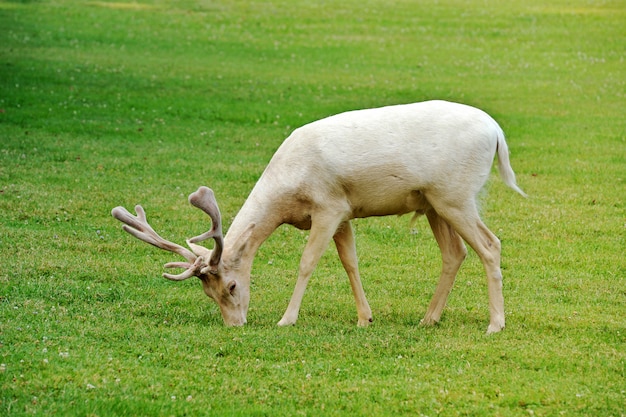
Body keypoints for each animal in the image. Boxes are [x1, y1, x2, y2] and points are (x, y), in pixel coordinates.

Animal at [111, 99, 520, 334]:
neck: (288, 192)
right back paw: (428, 319)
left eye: (231, 286)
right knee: (455, 253)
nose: (235, 324)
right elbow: (350, 261)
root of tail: (498, 132)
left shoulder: (329, 206)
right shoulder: (344, 214)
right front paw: (365, 319)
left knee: (490, 245)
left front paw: (286, 319)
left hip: (456, 196)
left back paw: (495, 324)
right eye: (208, 293)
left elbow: (308, 262)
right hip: (434, 202)